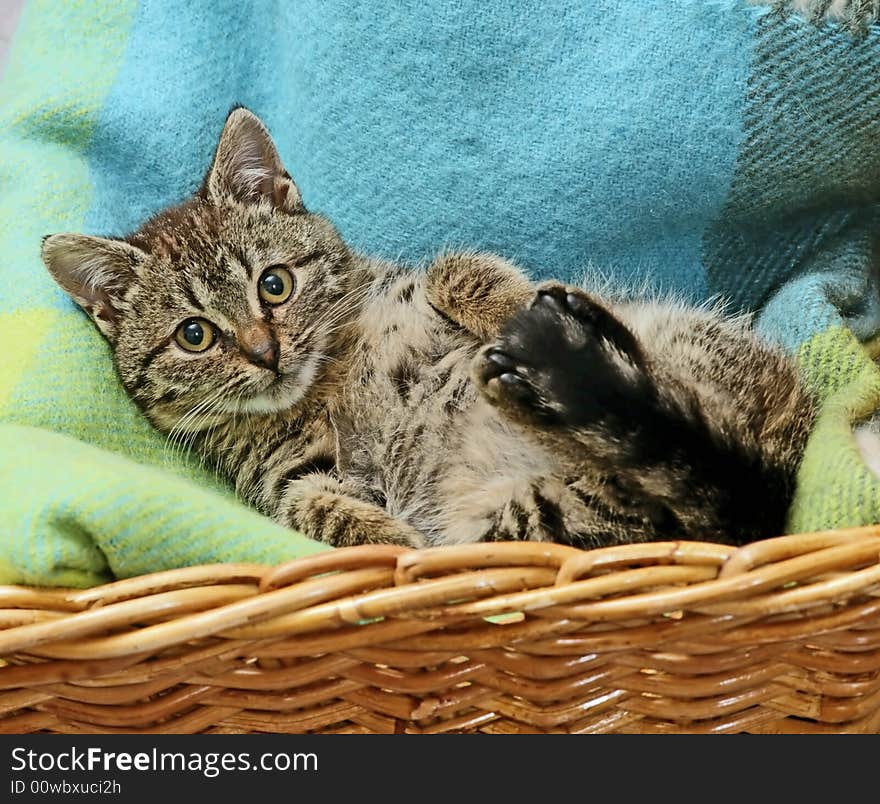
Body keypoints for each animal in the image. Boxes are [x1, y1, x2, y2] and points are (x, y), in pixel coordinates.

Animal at [39, 107, 812, 548]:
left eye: (274, 284)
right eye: (195, 336)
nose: (265, 352)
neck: (322, 384)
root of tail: (772, 497)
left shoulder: (405, 282)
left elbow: (451, 267)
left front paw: (511, 304)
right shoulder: (282, 479)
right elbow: (313, 507)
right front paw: (393, 539)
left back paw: (576, 338)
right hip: (538, 521)